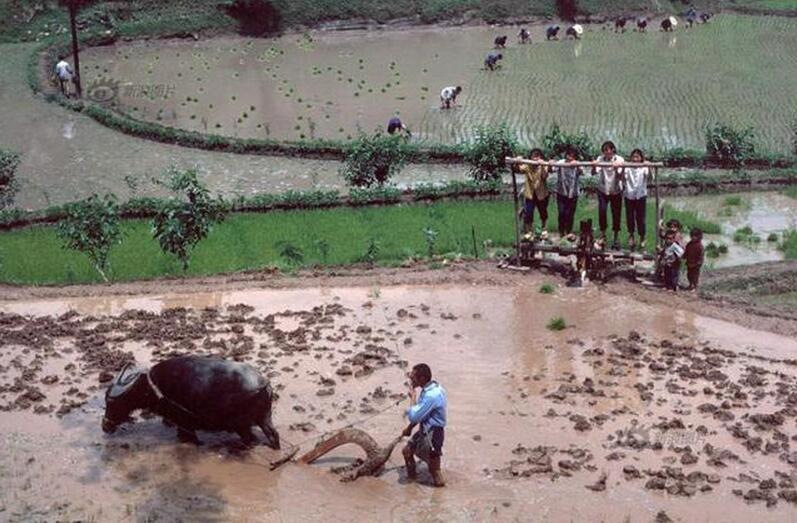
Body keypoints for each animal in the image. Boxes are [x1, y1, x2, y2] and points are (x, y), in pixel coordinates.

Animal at [102, 358, 280, 448]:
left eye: (115, 403)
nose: (105, 426)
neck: (155, 387)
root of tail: (263, 382)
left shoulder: (185, 424)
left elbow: (189, 439)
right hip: (265, 419)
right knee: (273, 435)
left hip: (242, 425)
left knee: (251, 439)